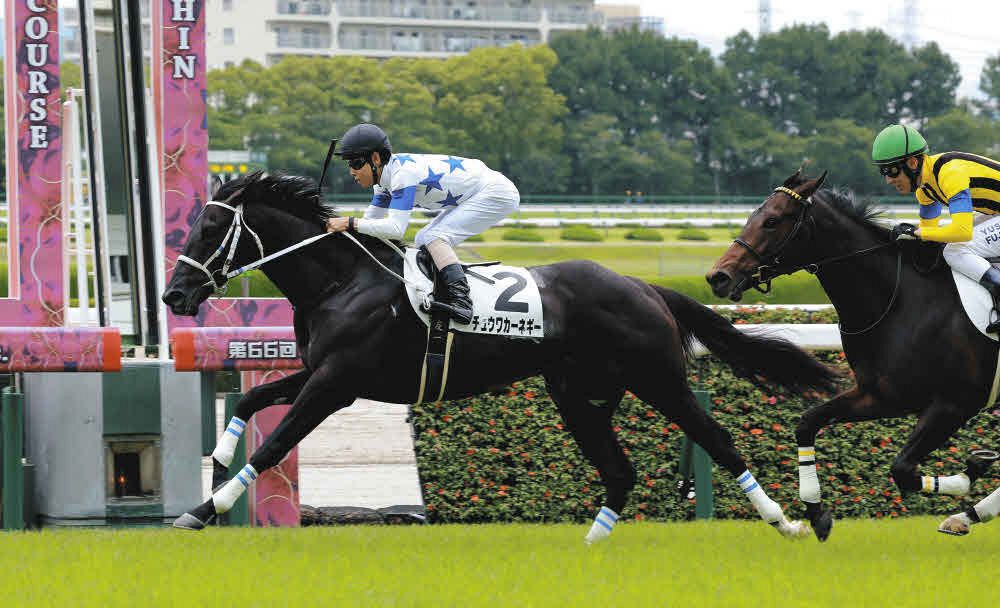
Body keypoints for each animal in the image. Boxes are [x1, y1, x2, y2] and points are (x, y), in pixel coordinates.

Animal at [162, 171, 838, 540]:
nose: (174, 294)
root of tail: (645, 286)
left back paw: (787, 520)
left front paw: (203, 509)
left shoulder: (336, 383)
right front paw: (216, 459)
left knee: (717, 441)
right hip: (579, 394)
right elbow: (251, 396)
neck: (342, 281)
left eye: (208, 230)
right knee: (620, 471)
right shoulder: (322, 372)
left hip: (658, 379)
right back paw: (590, 549)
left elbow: (276, 443)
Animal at [706, 170, 1000, 541]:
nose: (718, 276)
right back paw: (969, 514)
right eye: (751, 216)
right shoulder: (882, 395)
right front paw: (816, 512)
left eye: (772, 221)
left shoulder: (955, 403)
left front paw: (974, 467)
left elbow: (902, 469)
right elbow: (807, 423)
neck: (899, 300)